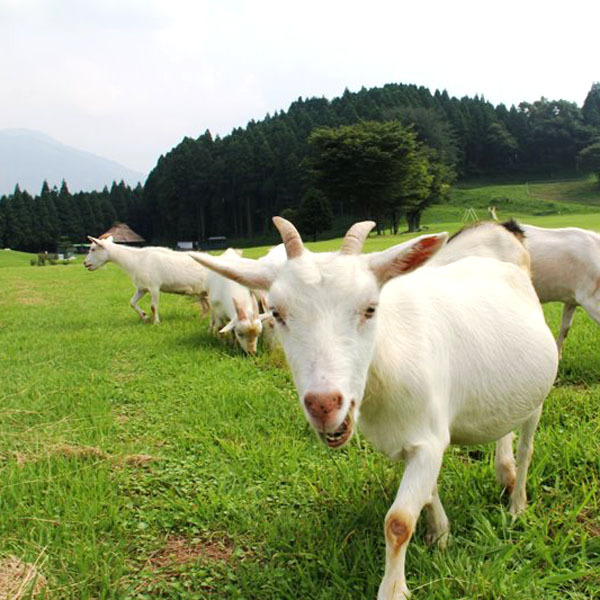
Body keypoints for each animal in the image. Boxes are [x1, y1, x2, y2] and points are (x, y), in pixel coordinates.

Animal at [192, 218, 556, 596]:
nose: (324, 404)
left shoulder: (428, 438)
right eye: (276, 313)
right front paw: (440, 534)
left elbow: (398, 522)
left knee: (527, 448)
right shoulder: (420, 439)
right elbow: (428, 493)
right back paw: (505, 474)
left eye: (370, 308)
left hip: (538, 397)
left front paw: (394, 590)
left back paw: (517, 504)